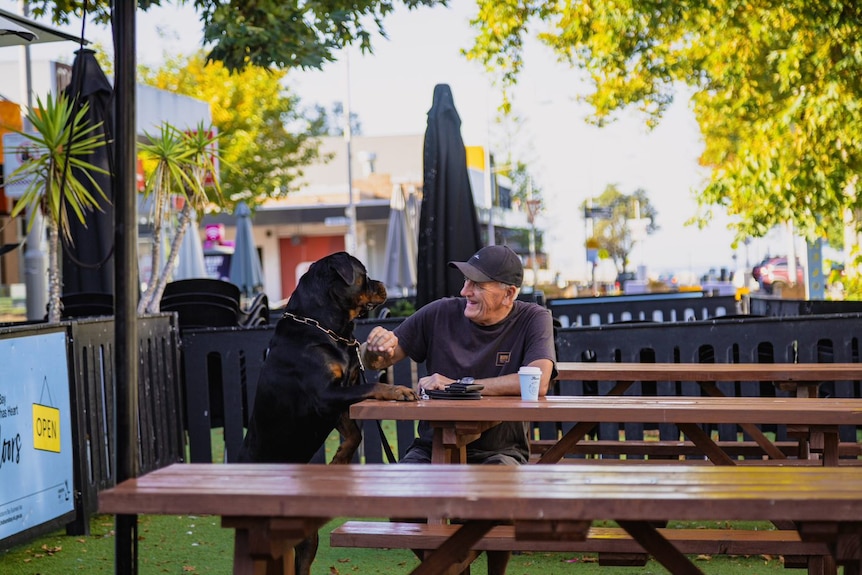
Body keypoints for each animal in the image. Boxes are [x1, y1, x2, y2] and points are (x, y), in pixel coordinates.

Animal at [238, 252, 416, 575]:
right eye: (364, 274)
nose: (382, 284)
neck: (325, 326)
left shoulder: (340, 399)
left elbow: (355, 434)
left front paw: (339, 462)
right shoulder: (324, 395)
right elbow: (374, 385)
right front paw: (398, 390)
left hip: (308, 539)